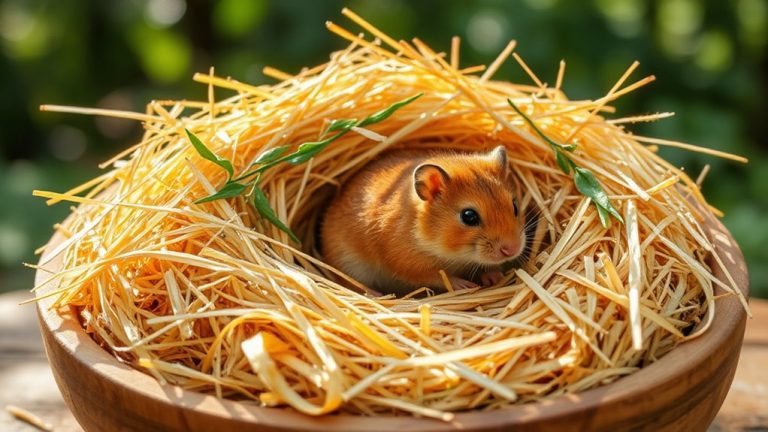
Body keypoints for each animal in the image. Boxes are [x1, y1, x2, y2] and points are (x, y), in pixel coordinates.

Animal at [320, 146, 527, 297]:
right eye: (469, 216)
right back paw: (375, 294)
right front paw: (464, 285)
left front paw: (494, 276)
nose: (513, 249)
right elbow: (438, 276)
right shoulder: (408, 264)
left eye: (515, 206)